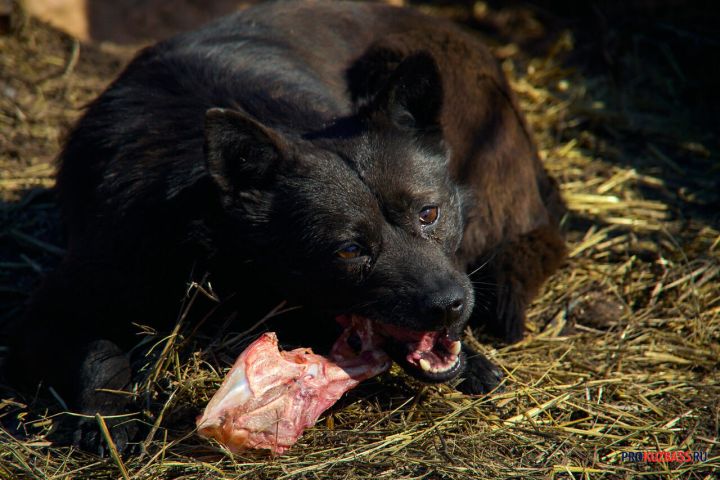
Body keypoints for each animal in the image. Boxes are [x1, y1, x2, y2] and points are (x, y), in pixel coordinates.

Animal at [5, 0, 568, 450]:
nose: (451, 305)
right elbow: (99, 354)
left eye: (428, 214)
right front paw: (104, 417)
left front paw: (471, 357)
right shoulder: (50, 308)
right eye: (349, 250)